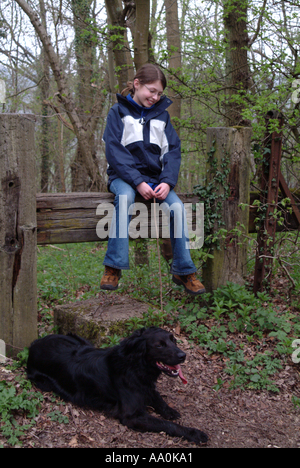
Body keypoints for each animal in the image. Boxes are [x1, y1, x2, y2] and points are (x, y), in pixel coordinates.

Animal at [27, 328, 207, 444]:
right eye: (159, 345)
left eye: (173, 340)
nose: (183, 355)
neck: (134, 366)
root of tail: (33, 344)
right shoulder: (132, 416)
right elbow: (167, 425)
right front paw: (194, 433)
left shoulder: (146, 387)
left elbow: (157, 397)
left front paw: (169, 410)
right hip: (44, 382)